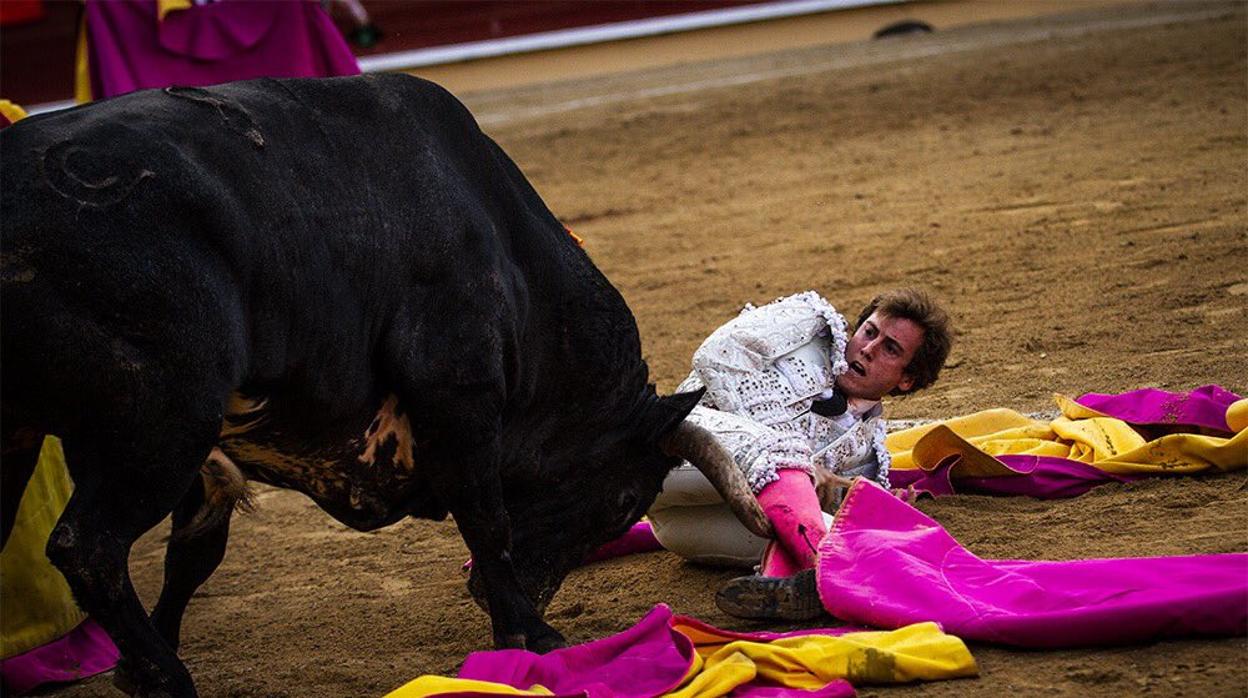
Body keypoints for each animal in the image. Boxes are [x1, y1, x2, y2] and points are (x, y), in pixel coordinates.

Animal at [0, 73, 768, 694]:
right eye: (625, 500)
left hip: (55, 433)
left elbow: (196, 547)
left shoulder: (195, 452)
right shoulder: (457, 391)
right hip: (161, 421)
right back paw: (171, 678)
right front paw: (530, 636)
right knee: (88, 547)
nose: (484, 598)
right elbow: (484, 512)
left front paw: (135, 664)